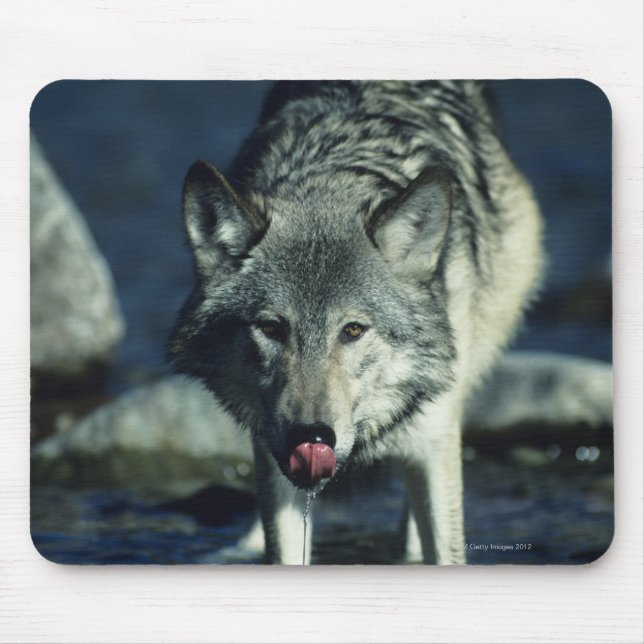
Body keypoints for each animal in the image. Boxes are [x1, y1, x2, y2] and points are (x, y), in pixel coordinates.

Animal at [169, 81, 543, 564]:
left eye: (352, 331)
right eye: (271, 328)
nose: (310, 435)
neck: (331, 180)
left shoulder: (434, 440)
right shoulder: (273, 460)